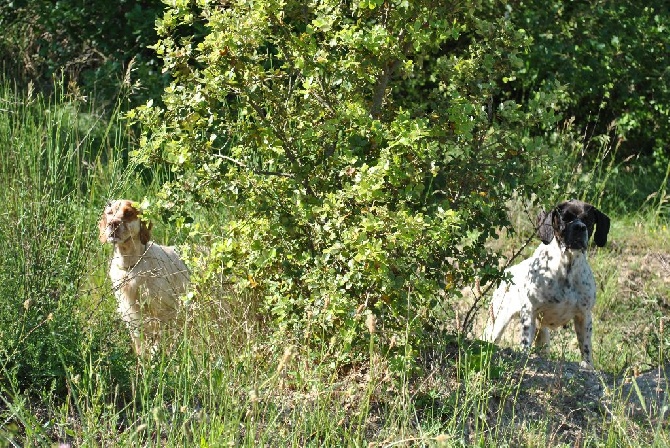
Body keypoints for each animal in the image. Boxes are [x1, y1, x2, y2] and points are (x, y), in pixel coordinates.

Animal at [98, 200, 190, 356]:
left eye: (128, 213)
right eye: (109, 213)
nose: (113, 224)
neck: (131, 266)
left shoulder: (165, 314)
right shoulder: (132, 317)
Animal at [486, 200, 612, 368]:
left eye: (588, 220)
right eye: (565, 218)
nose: (580, 227)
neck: (567, 267)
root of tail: (507, 272)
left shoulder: (583, 315)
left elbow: (585, 346)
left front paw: (587, 365)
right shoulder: (530, 311)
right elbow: (525, 342)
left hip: (543, 336)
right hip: (498, 323)